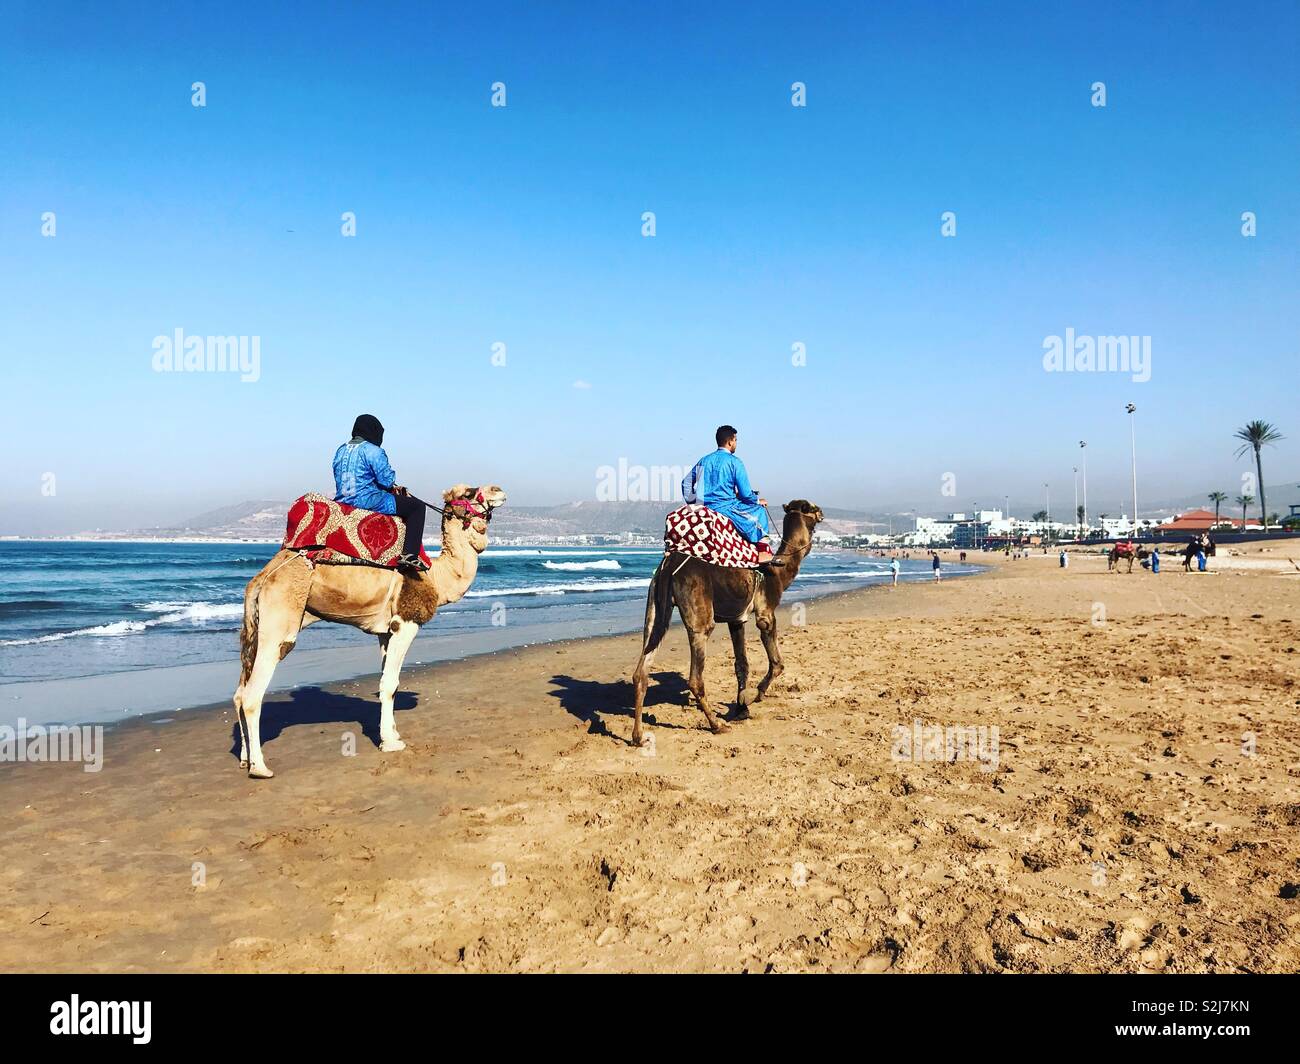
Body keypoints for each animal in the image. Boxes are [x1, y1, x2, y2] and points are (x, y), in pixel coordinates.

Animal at [232, 484, 506, 778]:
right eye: (468, 493)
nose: (499, 490)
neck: (435, 577)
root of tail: (262, 577)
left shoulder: (386, 632)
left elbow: (389, 683)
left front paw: (393, 736)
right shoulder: (405, 624)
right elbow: (390, 684)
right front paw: (390, 743)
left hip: (257, 626)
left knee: (239, 692)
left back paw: (245, 759)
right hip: (280, 621)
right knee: (252, 694)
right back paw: (260, 767)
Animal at [630, 500, 824, 747]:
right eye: (811, 507)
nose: (822, 513)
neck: (780, 572)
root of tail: (669, 565)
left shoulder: (737, 618)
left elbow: (742, 664)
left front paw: (742, 709)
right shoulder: (766, 613)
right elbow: (777, 663)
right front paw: (756, 696)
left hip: (654, 608)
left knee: (642, 668)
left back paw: (638, 736)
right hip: (699, 614)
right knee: (695, 677)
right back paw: (716, 725)